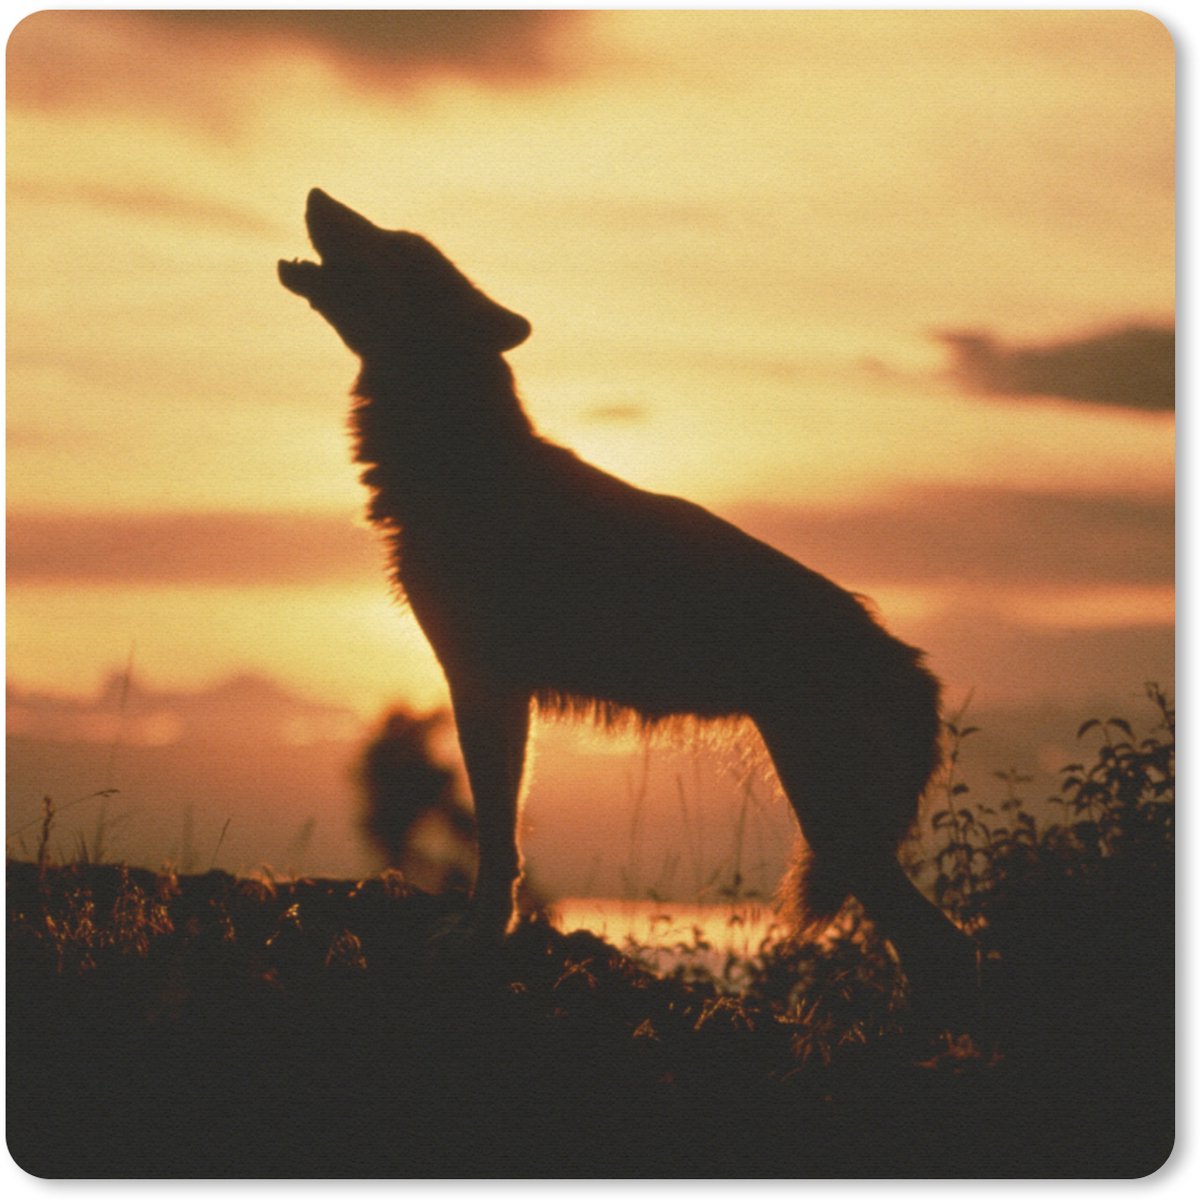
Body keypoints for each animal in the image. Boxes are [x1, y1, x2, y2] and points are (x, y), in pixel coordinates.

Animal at [280, 189, 975, 1007]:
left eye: (397, 245)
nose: (317, 194)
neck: (459, 458)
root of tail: (912, 664)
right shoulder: (501, 691)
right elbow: (505, 836)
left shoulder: (480, 682)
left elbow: (495, 838)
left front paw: (478, 940)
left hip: (829, 818)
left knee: (944, 945)